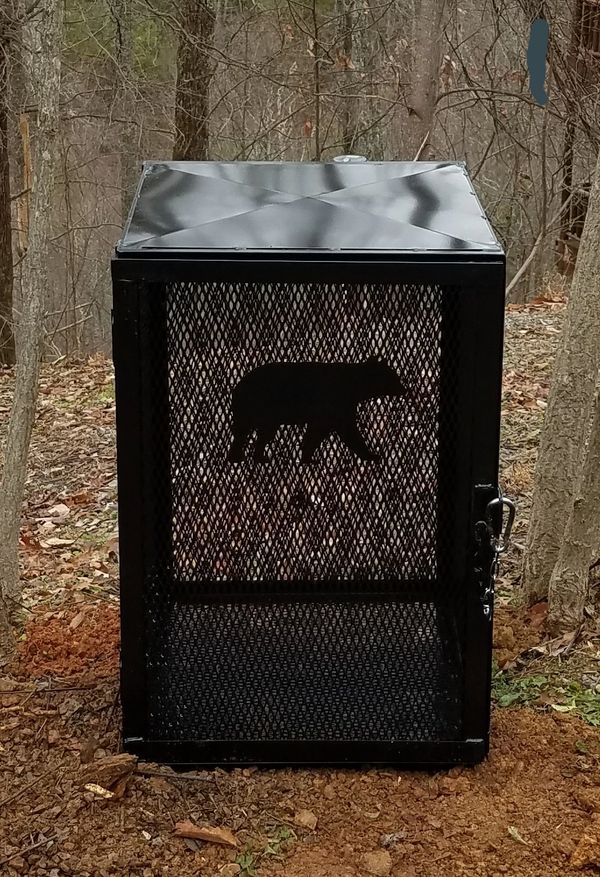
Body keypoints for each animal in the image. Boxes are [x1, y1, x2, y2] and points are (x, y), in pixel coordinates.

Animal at [227, 356, 404, 463]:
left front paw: (308, 456)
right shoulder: (338, 401)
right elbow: (347, 430)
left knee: (251, 433)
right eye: (394, 377)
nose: (404, 389)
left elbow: (317, 431)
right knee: (255, 432)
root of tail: (238, 388)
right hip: (263, 404)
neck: (357, 386)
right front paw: (371, 454)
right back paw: (246, 456)